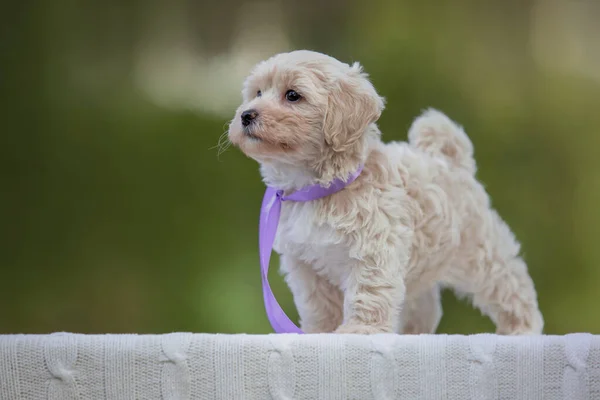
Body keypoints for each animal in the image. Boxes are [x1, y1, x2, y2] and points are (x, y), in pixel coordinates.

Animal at [226, 51, 544, 336]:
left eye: (292, 95)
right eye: (257, 92)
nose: (246, 115)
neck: (317, 187)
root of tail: (451, 160)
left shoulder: (373, 248)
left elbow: (368, 290)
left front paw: (361, 330)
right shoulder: (305, 263)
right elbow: (319, 303)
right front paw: (320, 332)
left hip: (479, 251)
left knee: (509, 283)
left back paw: (523, 326)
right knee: (425, 304)